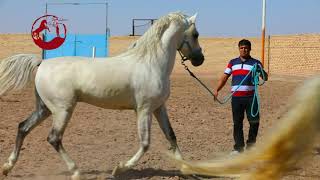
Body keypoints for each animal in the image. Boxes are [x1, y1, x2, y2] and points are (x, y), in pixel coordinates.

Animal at [0, 11, 205, 179]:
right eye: (195, 34)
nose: (200, 59)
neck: (151, 64)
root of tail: (42, 63)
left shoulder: (158, 107)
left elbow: (171, 135)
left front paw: (188, 170)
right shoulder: (144, 109)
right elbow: (145, 143)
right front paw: (119, 168)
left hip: (45, 109)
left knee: (23, 128)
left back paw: (7, 167)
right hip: (62, 109)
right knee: (54, 138)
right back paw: (76, 172)